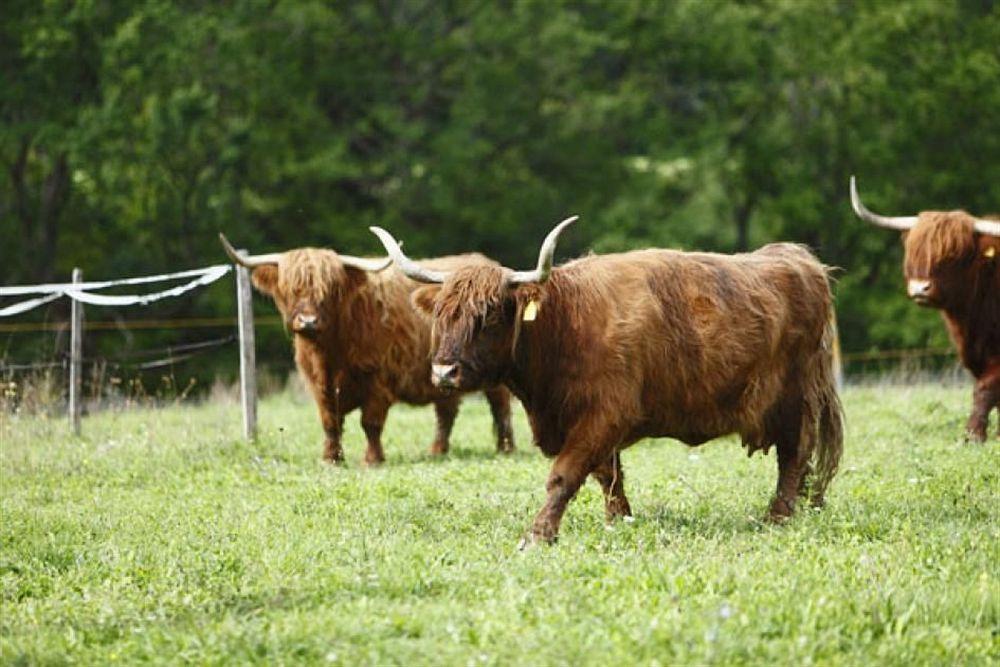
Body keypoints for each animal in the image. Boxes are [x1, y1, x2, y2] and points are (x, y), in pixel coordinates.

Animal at [220, 237, 516, 468]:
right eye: (290, 290)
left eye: (330, 290)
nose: (308, 321)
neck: (329, 354)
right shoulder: (319, 385)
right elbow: (330, 422)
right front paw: (331, 458)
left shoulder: (377, 380)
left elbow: (370, 423)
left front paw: (373, 459)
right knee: (446, 411)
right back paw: (437, 451)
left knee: (501, 407)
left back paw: (505, 448)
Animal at [372, 217, 840, 544]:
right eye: (442, 314)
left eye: (487, 316)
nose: (443, 372)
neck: (566, 327)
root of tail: (798, 258)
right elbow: (608, 476)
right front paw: (621, 520)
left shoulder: (604, 415)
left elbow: (564, 475)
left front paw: (537, 536)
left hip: (795, 399)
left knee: (794, 456)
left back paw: (777, 516)